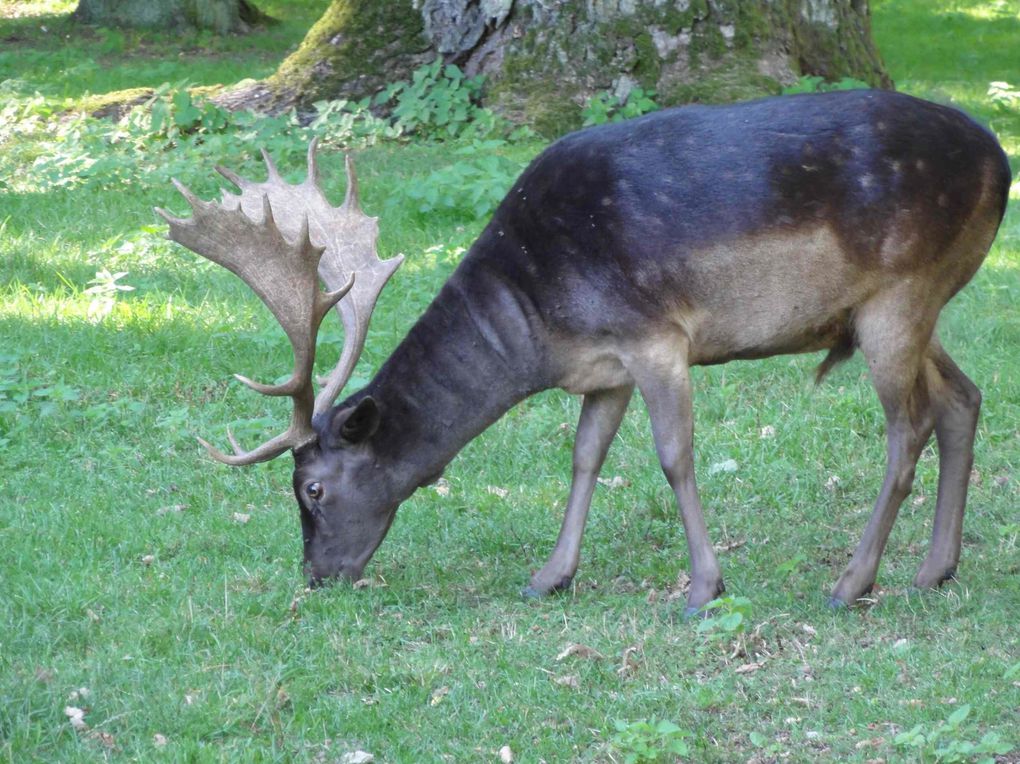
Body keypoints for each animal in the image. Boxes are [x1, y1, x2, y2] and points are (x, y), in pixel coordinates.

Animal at [159, 89, 1011, 612]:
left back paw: (852, 581)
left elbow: (673, 456)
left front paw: (703, 587)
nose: (317, 574)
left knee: (909, 426)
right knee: (964, 398)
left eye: (312, 489)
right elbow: (584, 455)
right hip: (910, 307)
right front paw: (550, 575)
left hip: (898, 293)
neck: (540, 324)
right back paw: (935, 568)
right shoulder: (604, 370)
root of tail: (1002, 162)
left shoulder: (655, 334)